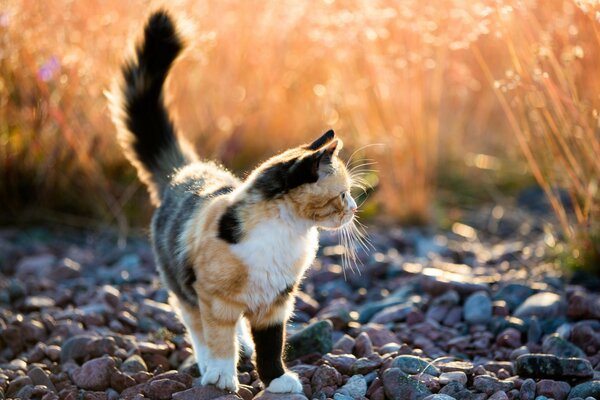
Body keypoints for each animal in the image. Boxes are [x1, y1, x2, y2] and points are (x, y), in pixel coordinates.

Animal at [110, 9, 358, 394]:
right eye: (343, 194)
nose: (354, 208)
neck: (286, 233)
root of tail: (187, 170)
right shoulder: (214, 298)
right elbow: (218, 338)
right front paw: (222, 376)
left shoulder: (276, 301)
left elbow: (271, 345)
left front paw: (276, 379)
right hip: (182, 288)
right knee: (197, 328)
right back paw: (209, 364)